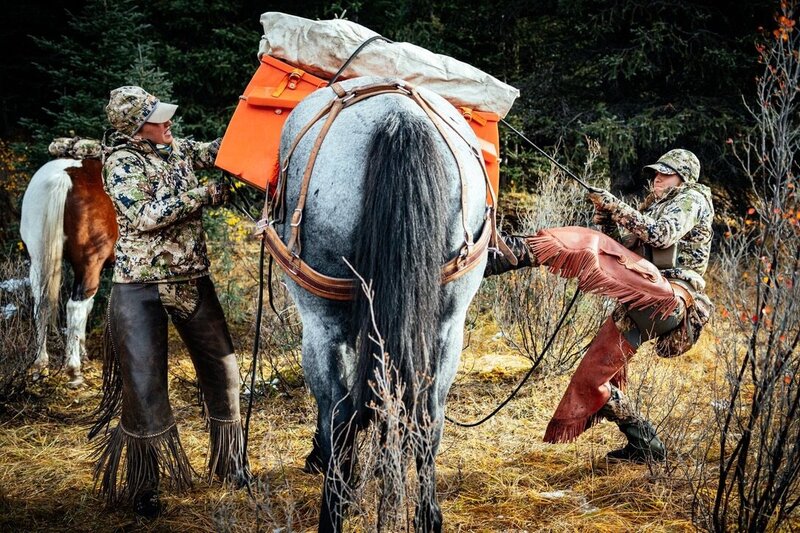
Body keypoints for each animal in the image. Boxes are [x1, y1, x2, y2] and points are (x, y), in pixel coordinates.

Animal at [19, 158, 116, 386]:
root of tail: (65, 174)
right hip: (90, 264)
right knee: (75, 307)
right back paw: (74, 370)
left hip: (38, 262)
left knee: (41, 307)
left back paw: (41, 365)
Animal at [262, 77, 490, 528]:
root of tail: (399, 118)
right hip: (449, 323)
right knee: (427, 416)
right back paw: (427, 517)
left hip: (321, 321)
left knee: (339, 414)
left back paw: (332, 512)